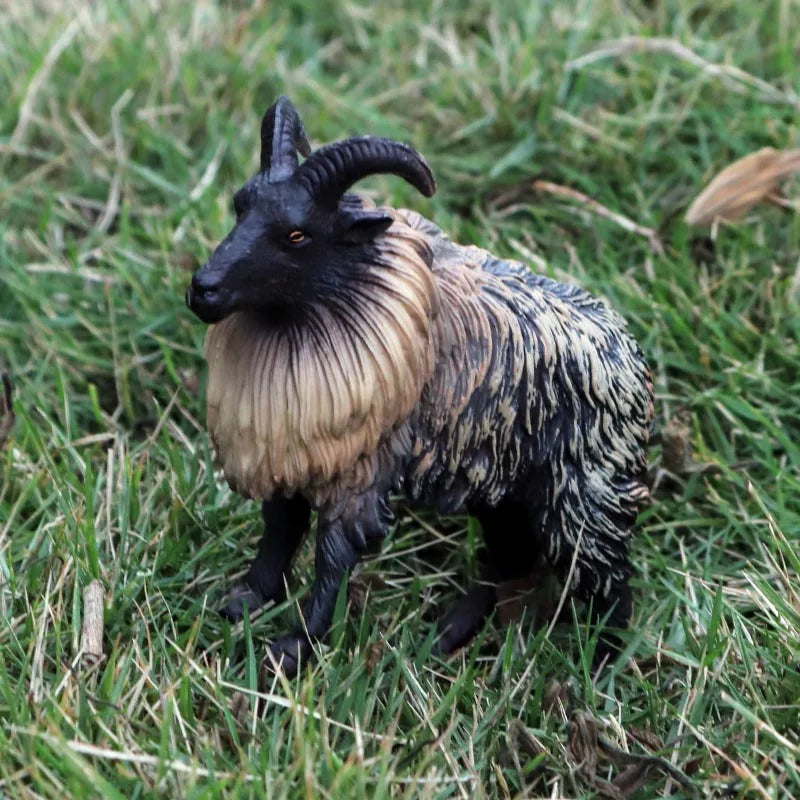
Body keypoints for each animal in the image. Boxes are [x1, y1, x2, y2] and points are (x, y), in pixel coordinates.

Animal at [185, 96, 655, 677]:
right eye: (239, 206)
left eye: (297, 235)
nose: (202, 290)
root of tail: (631, 360)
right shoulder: (291, 453)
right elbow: (280, 529)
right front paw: (245, 602)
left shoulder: (360, 476)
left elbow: (331, 556)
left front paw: (294, 647)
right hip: (503, 483)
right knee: (509, 555)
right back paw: (449, 633)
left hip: (584, 492)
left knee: (607, 577)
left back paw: (604, 663)